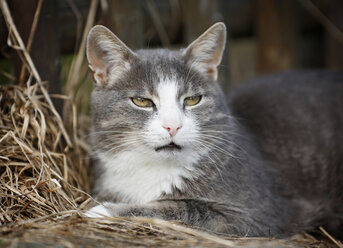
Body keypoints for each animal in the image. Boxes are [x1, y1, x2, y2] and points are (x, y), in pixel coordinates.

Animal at [84, 23, 343, 238]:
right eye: (142, 101)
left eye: (192, 100)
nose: (173, 126)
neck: (152, 169)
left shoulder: (260, 216)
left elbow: (184, 208)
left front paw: (101, 212)